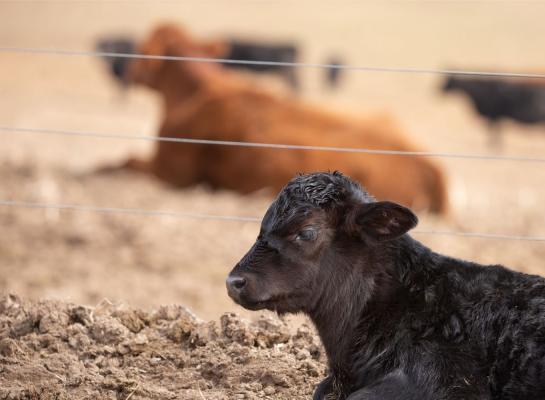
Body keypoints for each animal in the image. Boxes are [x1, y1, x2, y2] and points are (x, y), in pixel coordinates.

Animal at [105, 23, 446, 214]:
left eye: (142, 47)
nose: (128, 73)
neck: (196, 92)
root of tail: (429, 164)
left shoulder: (171, 172)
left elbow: (120, 162)